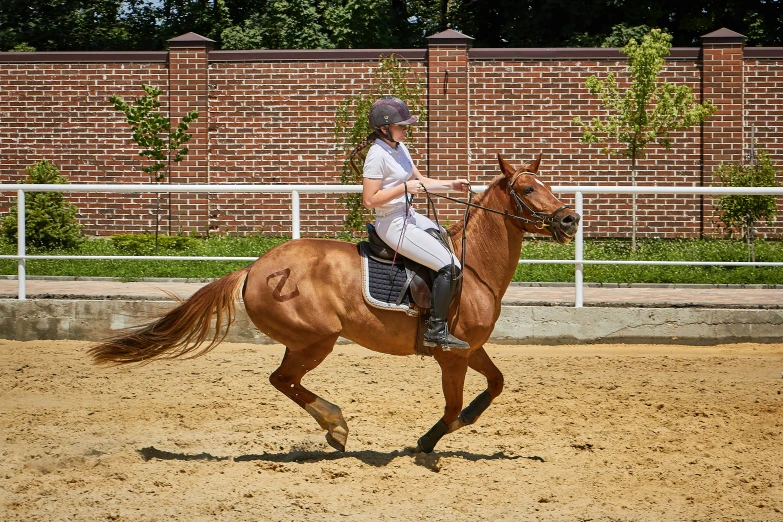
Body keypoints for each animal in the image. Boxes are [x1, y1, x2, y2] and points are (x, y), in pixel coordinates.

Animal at [92, 153, 580, 450]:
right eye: (528, 190)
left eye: (547, 184)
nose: (570, 219)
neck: (473, 265)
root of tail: (253, 269)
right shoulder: (451, 355)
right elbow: (453, 406)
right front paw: (429, 441)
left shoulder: (472, 349)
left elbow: (495, 385)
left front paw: (462, 422)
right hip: (316, 339)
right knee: (283, 380)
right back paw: (336, 424)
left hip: (306, 341)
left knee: (284, 381)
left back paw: (334, 427)